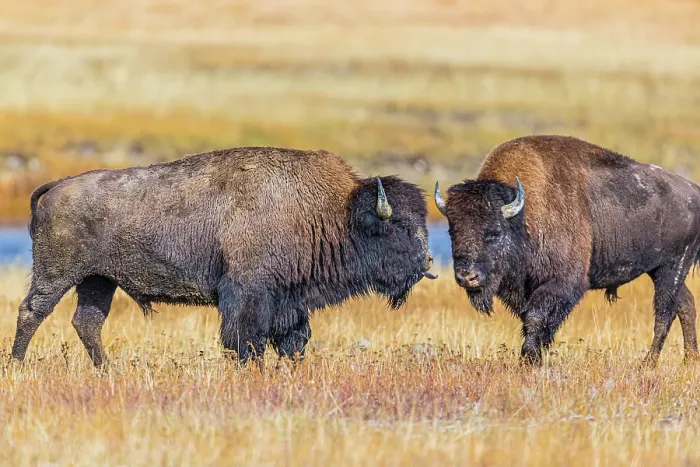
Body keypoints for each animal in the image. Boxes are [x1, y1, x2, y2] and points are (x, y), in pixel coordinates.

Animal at [12, 147, 437, 367]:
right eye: (399, 226)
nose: (429, 262)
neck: (332, 212)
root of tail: (56, 186)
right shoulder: (248, 295)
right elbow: (246, 339)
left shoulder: (290, 301)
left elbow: (294, 339)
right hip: (57, 274)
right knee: (32, 312)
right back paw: (17, 364)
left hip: (99, 281)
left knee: (87, 322)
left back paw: (106, 369)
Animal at [435, 135, 700, 366]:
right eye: (452, 231)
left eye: (495, 232)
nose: (467, 277)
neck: (523, 218)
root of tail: (694, 191)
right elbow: (530, 321)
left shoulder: (561, 283)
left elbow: (537, 318)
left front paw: (529, 359)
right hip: (659, 271)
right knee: (685, 304)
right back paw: (689, 360)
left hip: (671, 267)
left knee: (665, 313)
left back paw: (647, 364)